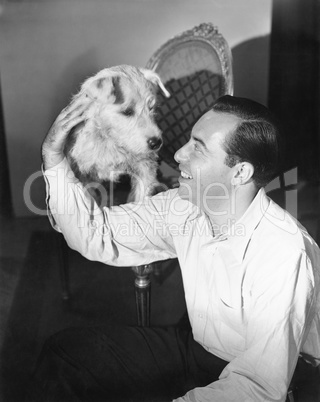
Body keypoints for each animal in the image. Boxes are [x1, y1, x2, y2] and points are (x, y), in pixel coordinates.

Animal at [65, 65, 170, 207]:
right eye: (127, 111)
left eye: (152, 108)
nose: (156, 142)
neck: (111, 140)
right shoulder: (84, 174)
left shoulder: (144, 167)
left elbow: (141, 196)